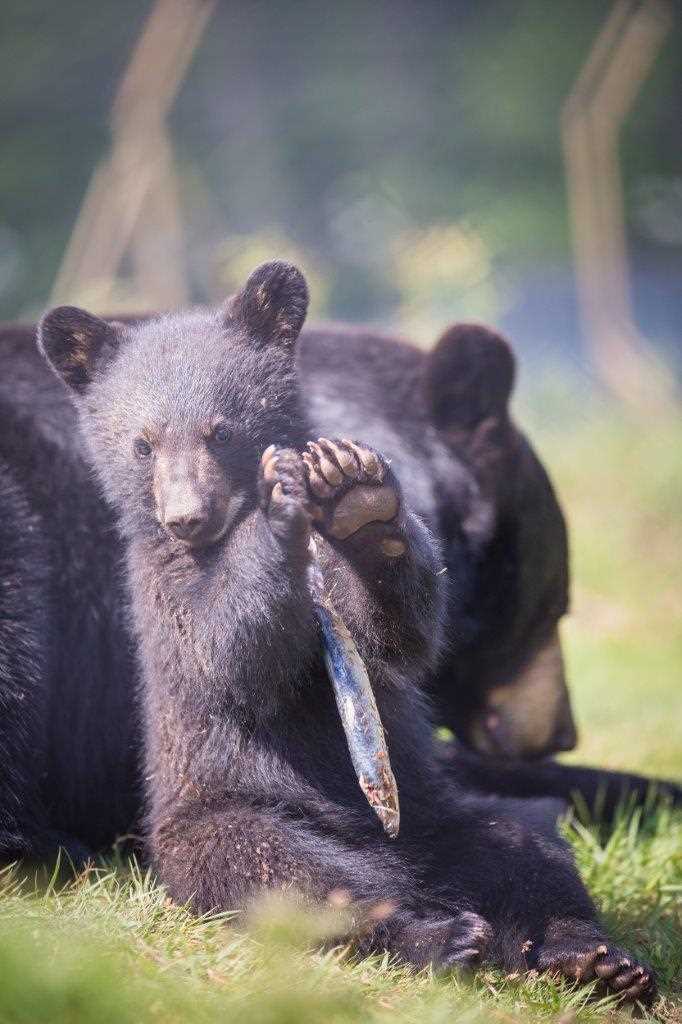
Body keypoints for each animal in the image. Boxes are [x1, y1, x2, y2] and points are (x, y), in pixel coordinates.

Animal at [37, 258, 655, 999]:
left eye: (220, 431)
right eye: (142, 443)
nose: (186, 516)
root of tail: (399, 861)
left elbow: (400, 638)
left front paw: (358, 495)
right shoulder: (161, 591)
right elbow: (231, 651)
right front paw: (279, 508)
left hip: (444, 814)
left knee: (527, 848)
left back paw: (594, 957)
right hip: (216, 813)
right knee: (286, 878)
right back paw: (440, 936)